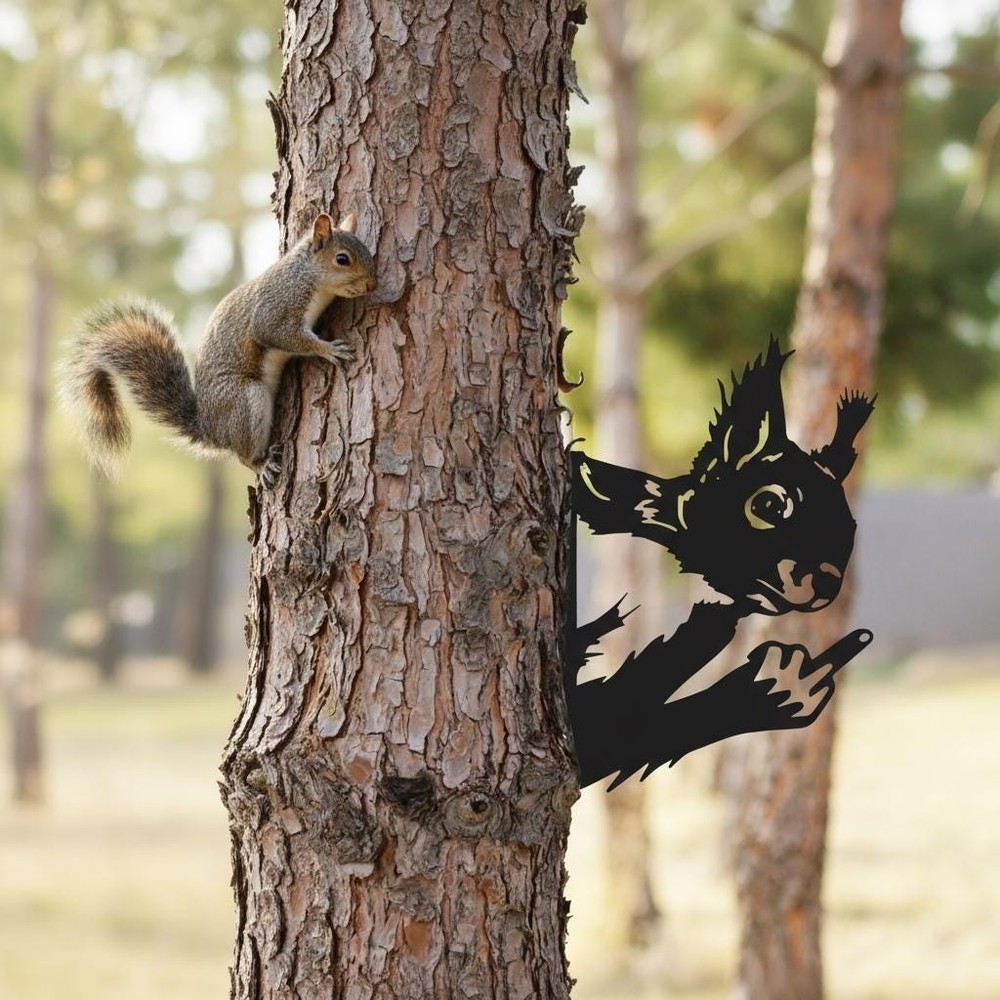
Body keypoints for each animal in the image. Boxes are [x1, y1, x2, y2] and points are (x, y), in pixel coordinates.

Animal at [61, 212, 377, 484]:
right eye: (342, 259)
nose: (372, 285)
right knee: (242, 454)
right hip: (244, 402)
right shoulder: (277, 307)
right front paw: (328, 349)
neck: (306, 276)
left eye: (367, 251)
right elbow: (280, 334)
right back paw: (262, 464)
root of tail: (211, 429)